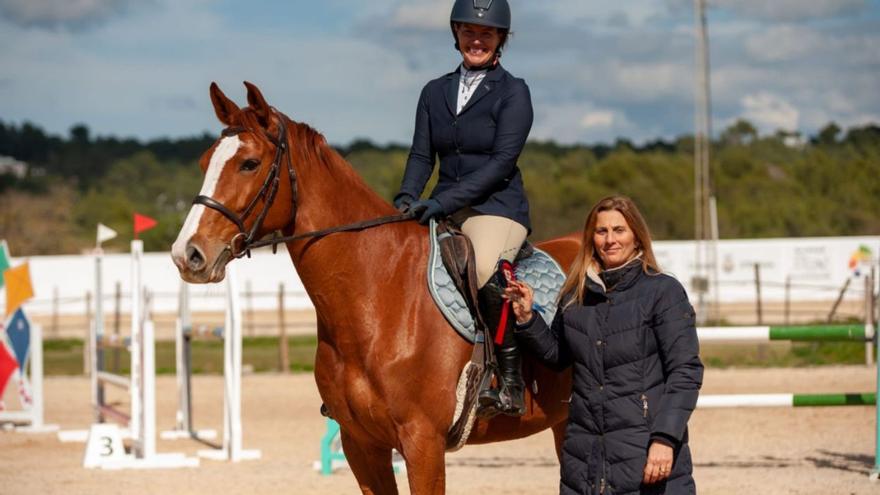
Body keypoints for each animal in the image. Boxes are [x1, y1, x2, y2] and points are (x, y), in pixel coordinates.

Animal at [172, 83, 580, 494]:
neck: (379, 295)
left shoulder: (423, 442)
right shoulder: (361, 444)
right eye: (205, 163)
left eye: (250, 163)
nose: (187, 254)